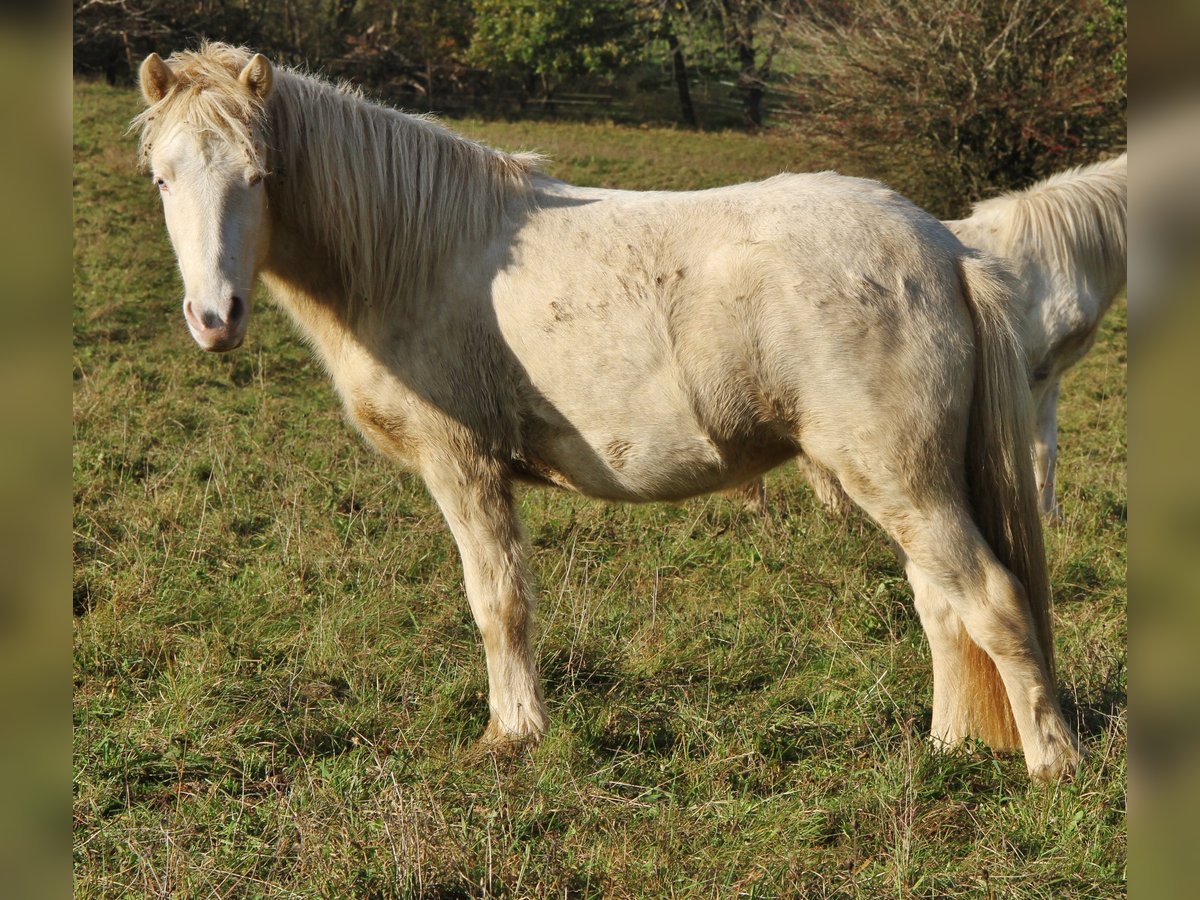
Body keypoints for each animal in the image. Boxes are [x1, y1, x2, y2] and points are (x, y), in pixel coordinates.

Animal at [136, 42, 1084, 777]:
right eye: (162, 179)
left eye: (260, 175)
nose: (215, 318)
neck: (419, 255)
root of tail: (943, 249)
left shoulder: (463, 467)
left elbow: (499, 603)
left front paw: (512, 734)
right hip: (908, 485)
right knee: (942, 606)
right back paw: (949, 747)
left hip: (902, 481)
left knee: (992, 602)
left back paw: (1052, 764)